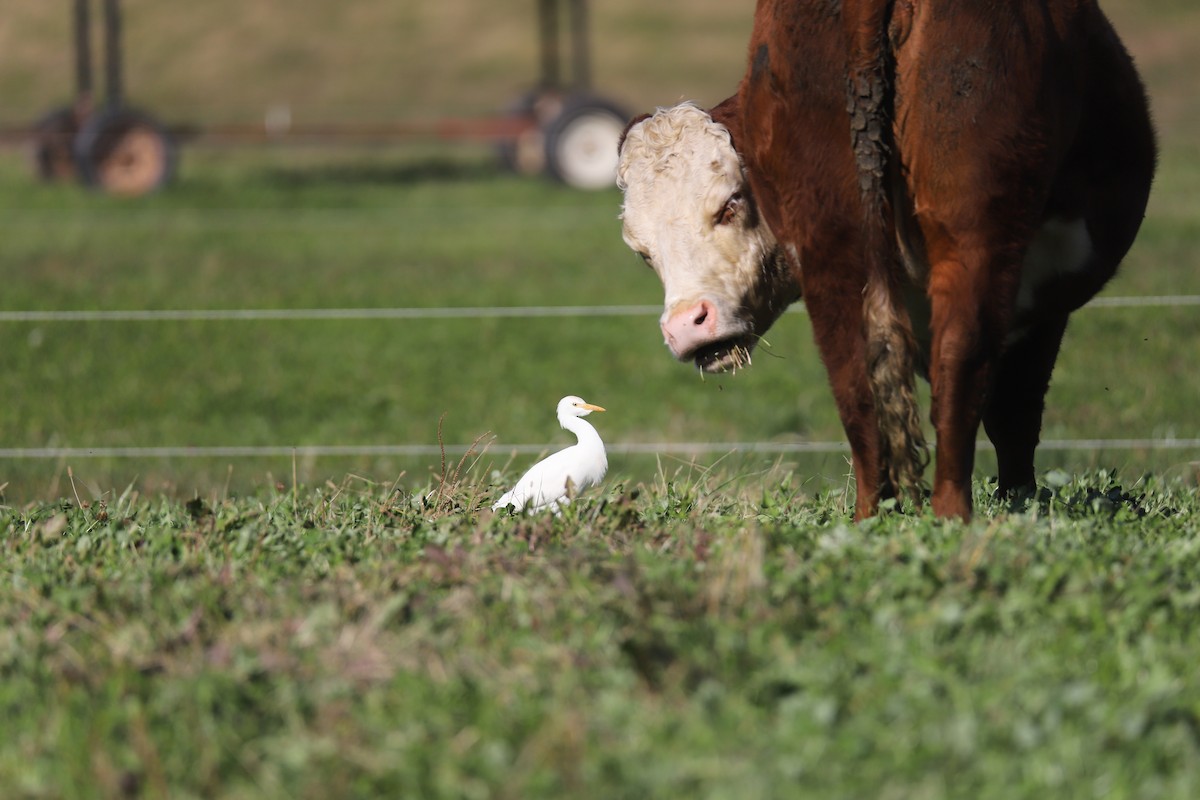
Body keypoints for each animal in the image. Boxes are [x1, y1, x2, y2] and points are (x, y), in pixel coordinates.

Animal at [617, 0, 1156, 521]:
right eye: (642, 252)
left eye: (730, 203)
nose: (686, 326)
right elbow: (1014, 413)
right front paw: (1019, 503)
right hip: (974, 235)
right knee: (959, 368)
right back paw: (952, 518)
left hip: (832, 249)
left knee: (856, 385)